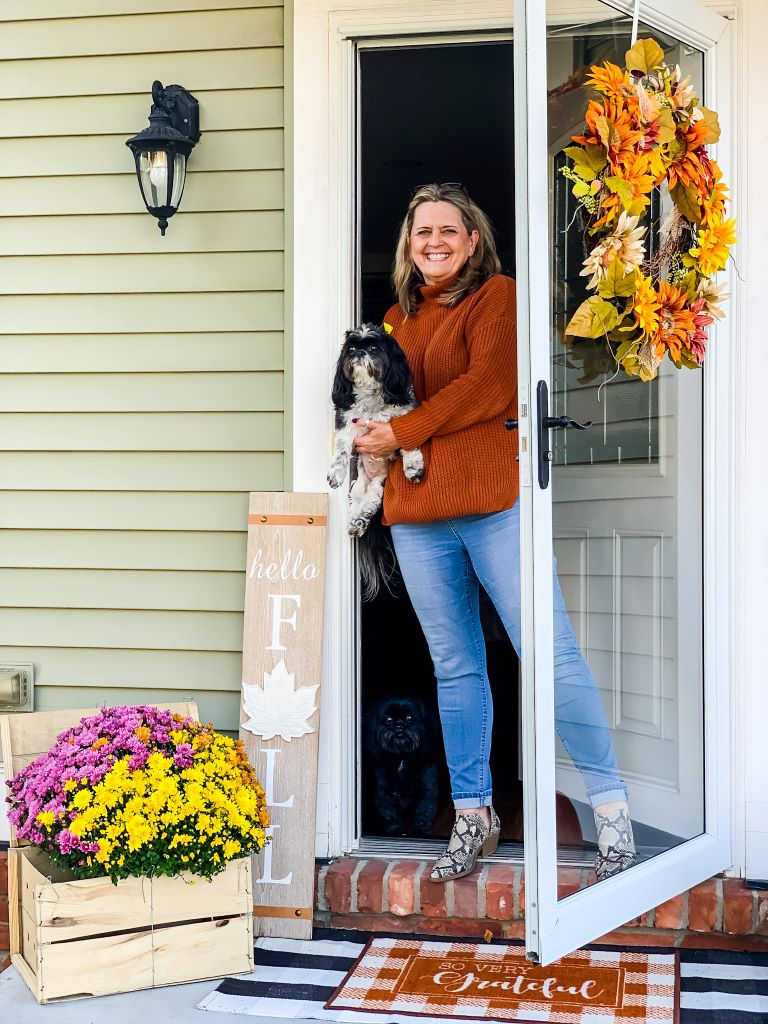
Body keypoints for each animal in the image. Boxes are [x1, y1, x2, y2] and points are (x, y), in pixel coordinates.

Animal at [362, 696, 438, 831]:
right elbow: (390, 814)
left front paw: (421, 831)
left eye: (409, 718)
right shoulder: (382, 792)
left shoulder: (428, 788)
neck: (401, 756)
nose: (399, 726)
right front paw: (395, 829)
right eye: (388, 719)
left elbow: (423, 812)